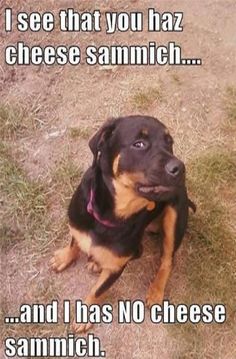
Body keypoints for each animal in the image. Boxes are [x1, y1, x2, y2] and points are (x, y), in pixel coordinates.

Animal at [50, 115, 195, 332]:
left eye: (169, 142)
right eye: (139, 144)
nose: (180, 168)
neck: (108, 215)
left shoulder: (116, 269)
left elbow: (97, 291)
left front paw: (85, 315)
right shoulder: (78, 224)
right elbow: (74, 241)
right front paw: (64, 257)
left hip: (175, 215)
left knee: (167, 260)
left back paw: (156, 291)